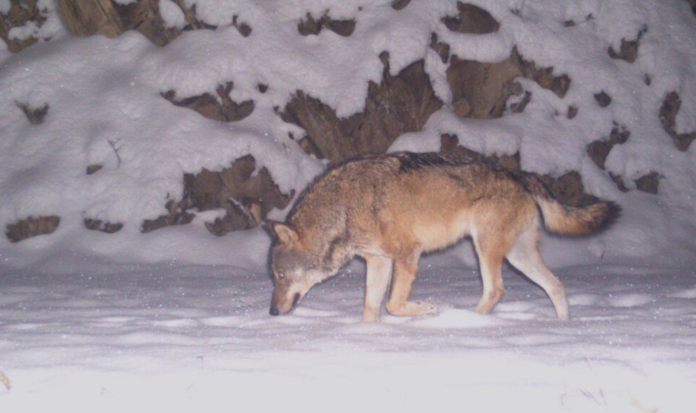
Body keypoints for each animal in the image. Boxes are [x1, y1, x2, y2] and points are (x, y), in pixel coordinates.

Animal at [266, 151, 620, 322]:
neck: (343, 208)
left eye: (281, 275)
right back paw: (562, 326)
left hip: (486, 248)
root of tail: (519, 174)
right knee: (556, 286)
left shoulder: (408, 252)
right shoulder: (378, 261)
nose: (271, 313)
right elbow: (370, 309)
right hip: (518, 257)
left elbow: (393, 304)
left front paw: (429, 309)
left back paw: (466, 322)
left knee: (496, 290)